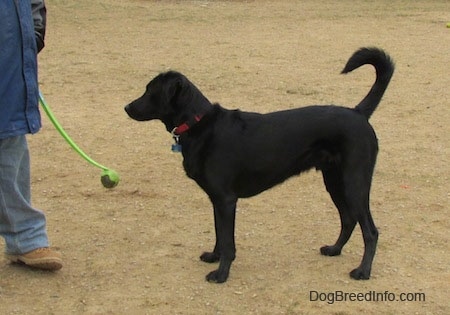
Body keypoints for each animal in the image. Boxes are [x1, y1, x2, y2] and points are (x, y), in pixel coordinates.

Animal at [124, 47, 394, 284]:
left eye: (150, 90)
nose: (126, 107)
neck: (199, 124)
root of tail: (358, 113)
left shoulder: (226, 200)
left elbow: (228, 241)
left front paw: (221, 274)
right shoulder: (216, 200)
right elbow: (219, 234)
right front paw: (214, 257)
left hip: (354, 183)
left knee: (370, 231)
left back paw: (363, 271)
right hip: (334, 180)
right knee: (348, 219)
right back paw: (334, 249)